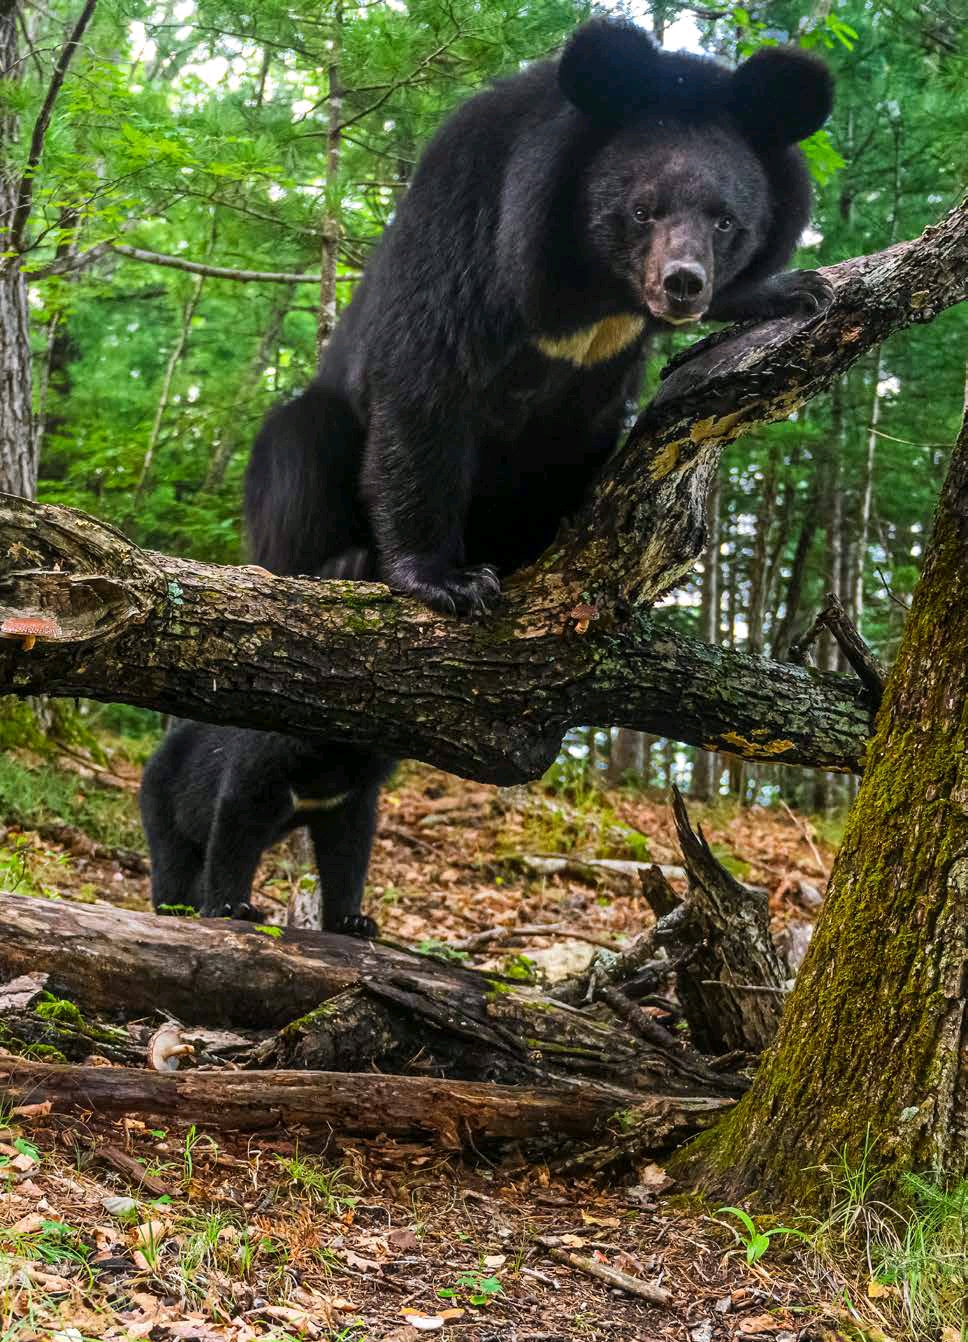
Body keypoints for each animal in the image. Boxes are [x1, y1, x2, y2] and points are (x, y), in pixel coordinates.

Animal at [141, 20, 832, 928]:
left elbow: (581, 443)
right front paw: (445, 581)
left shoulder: (597, 382)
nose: (682, 285)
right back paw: (342, 562)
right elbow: (425, 385)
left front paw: (788, 290)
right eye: (642, 210)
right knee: (298, 452)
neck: (590, 295)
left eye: (725, 221)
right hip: (303, 448)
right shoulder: (469, 224)